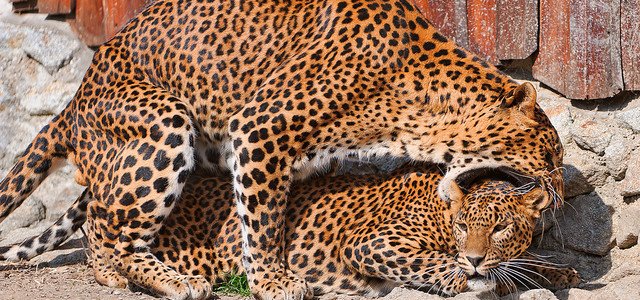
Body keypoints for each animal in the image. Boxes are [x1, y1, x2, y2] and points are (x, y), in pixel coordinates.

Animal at [0, 0, 560, 298]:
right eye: (552, 157)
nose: (555, 194)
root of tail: (77, 96)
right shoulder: (258, 130)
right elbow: (264, 220)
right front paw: (273, 281)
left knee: (97, 208)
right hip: (165, 121)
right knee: (112, 227)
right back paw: (164, 279)